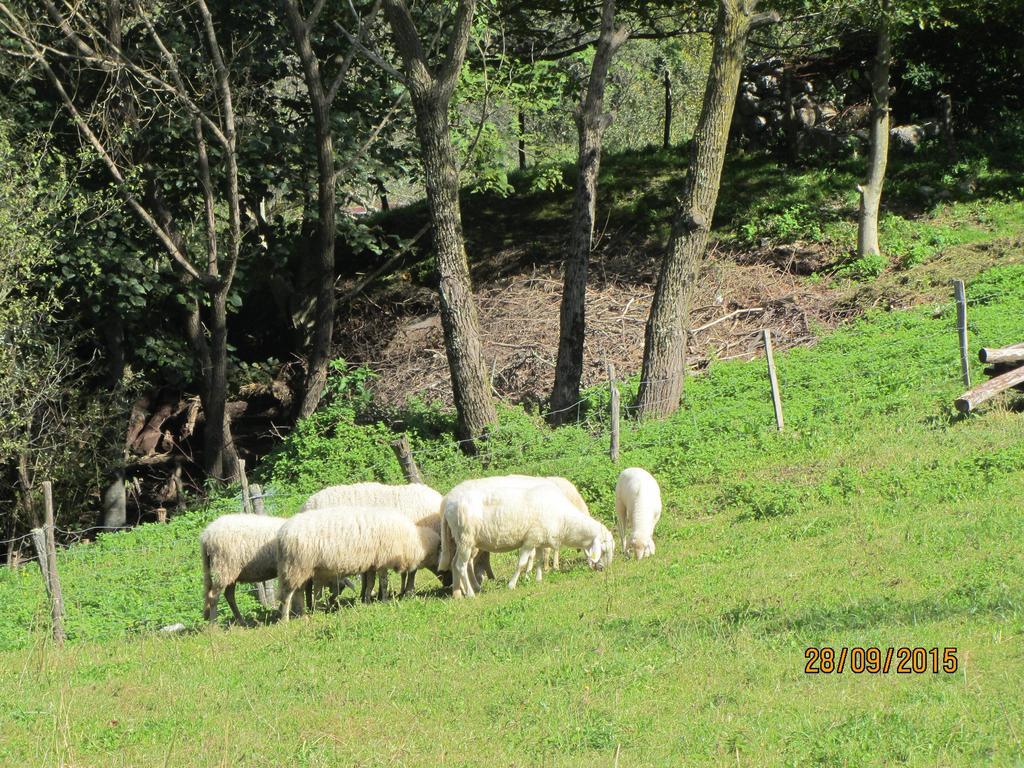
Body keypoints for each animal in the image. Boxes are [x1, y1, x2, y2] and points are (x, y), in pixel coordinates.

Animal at [276, 507, 440, 622]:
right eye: (440, 551)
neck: (411, 540)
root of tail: (282, 532)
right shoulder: (382, 560)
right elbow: (384, 582)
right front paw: (385, 600)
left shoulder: (372, 563)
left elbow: (370, 583)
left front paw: (366, 601)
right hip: (296, 566)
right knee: (287, 594)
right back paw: (285, 619)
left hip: (302, 569)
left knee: (299, 592)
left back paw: (303, 614)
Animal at [436, 481, 610, 602]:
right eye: (604, 549)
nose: (604, 569)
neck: (564, 520)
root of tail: (447, 503)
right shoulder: (530, 539)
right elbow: (521, 563)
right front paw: (512, 585)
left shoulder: (540, 540)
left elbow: (539, 560)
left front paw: (538, 579)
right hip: (466, 537)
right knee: (461, 565)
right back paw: (471, 594)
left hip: (460, 540)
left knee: (455, 563)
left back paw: (461, 593)